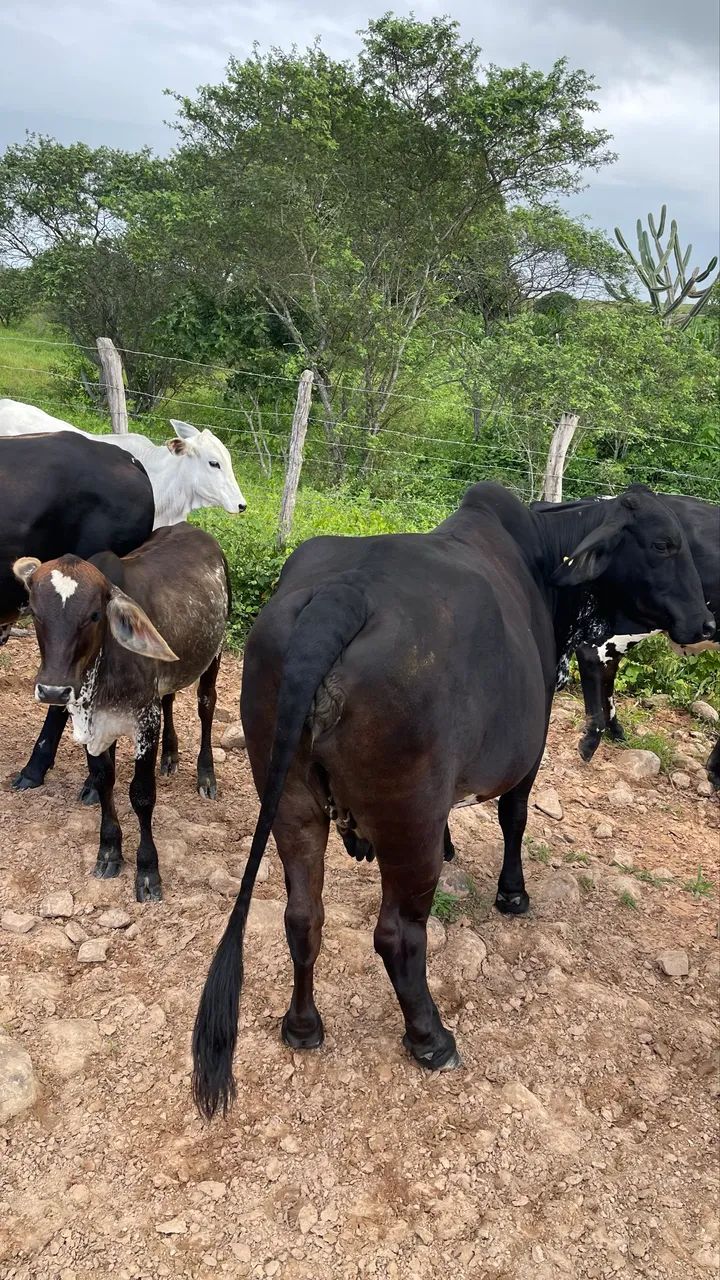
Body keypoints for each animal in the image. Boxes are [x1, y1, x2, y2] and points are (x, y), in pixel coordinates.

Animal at [13, 523, 230, 902]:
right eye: (36, 613)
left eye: (93, 615)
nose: (53, 690)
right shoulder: (91, 721)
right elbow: (104, 782)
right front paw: (109, 852)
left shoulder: (146, 722)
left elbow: (141, 795)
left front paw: (147, 871)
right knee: (170, 698)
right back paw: (170, 756)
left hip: (213, 652)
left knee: (206, 704)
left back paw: (206, 776)